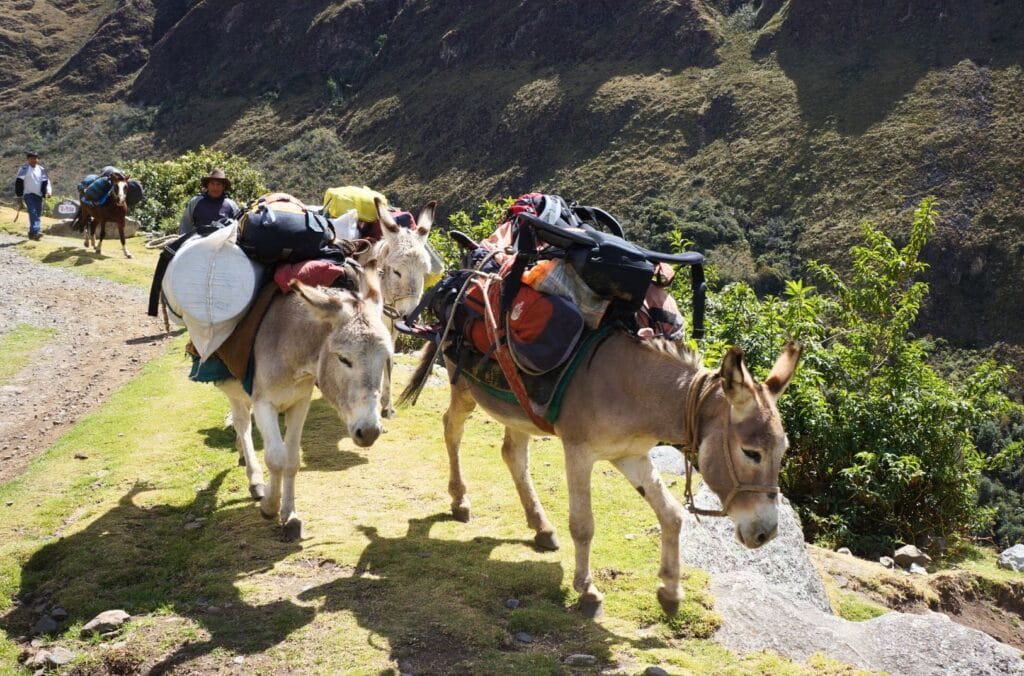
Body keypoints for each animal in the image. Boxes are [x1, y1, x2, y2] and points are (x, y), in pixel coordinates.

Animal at [401, 333, 798, 618]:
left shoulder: (631, 454)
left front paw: (670, 591)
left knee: (513, 454)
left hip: (518, 410)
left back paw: (540, 526)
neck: (633, 388)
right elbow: (583, 526)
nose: (766, 533)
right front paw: (587, 591)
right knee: (451, 429)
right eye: (751, 452)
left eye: (783, 451)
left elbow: (671, 515)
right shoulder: (578, 451)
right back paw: (460, 500)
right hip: (463, 386)